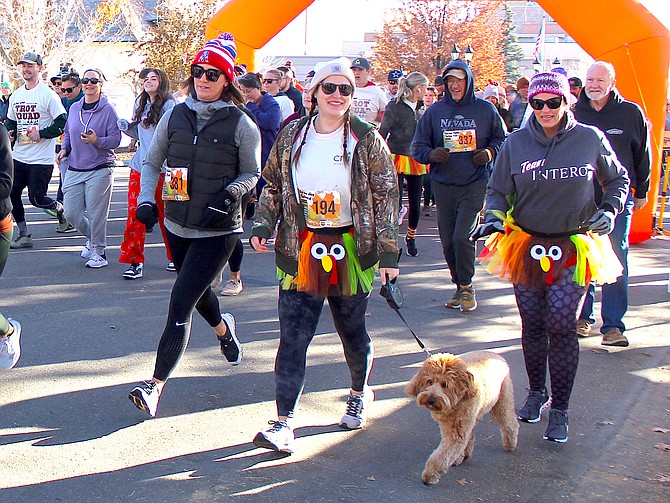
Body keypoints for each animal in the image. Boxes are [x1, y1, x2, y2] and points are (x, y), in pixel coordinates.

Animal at [404, 350, 520, 484]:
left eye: (445, 384)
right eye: (430, 381)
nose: (431, 400)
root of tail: (496, 355)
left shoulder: (456, 433)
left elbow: (442, 455)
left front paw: (430, 475)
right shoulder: (453, 425)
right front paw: (458, 458)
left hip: (502, 402)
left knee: (510, 423)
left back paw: (510, 444)